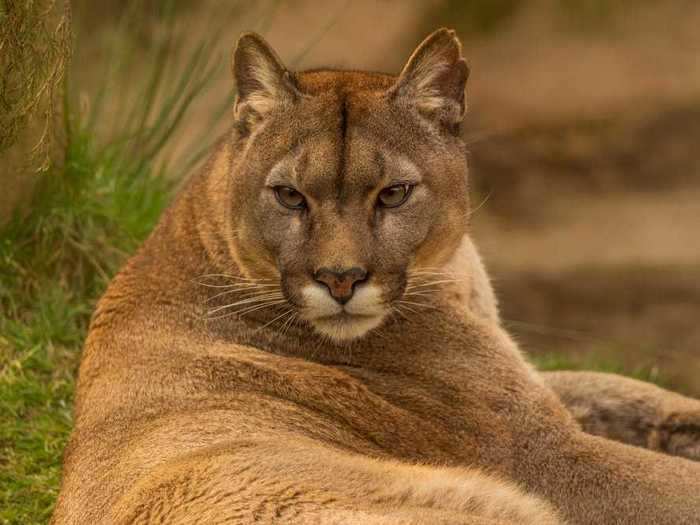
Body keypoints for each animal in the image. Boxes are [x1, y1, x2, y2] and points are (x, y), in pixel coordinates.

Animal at [53, 29, 700, 524]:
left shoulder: (532, 388)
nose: (340, 279)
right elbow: (668, 484)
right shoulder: (538, 450)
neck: (453, 273)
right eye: (290, 196)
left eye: (393, 193)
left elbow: (614, 386)